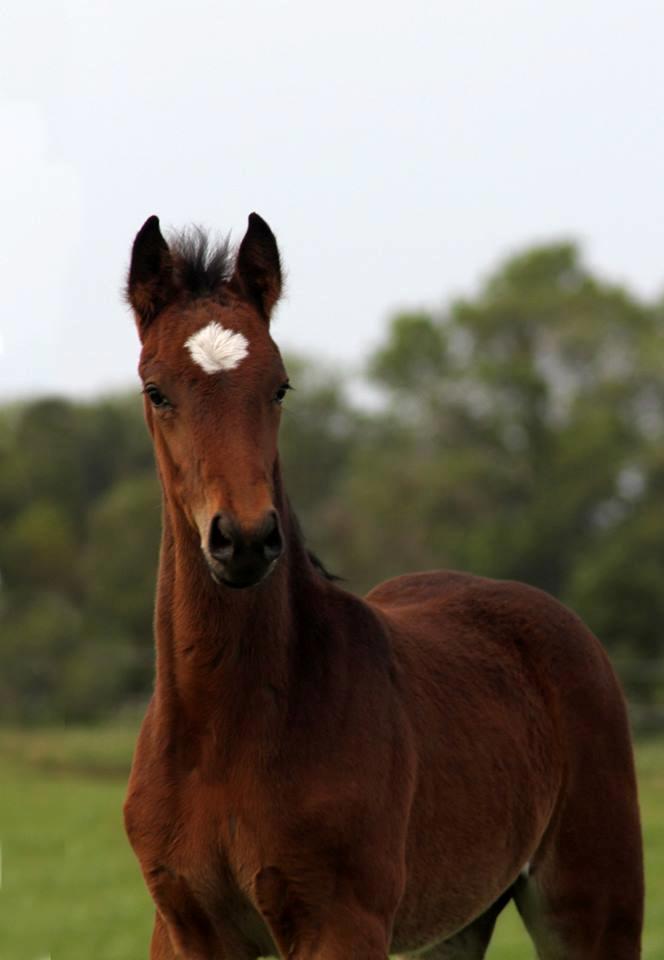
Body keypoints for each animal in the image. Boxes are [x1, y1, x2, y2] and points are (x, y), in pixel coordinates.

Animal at [123, 214, 644, 956]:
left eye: (279, 386)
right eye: (157, 390)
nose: (245, 539)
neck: (225, 732)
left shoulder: (342, 921)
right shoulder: (185, 925)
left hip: (592, 905)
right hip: (453, 923)